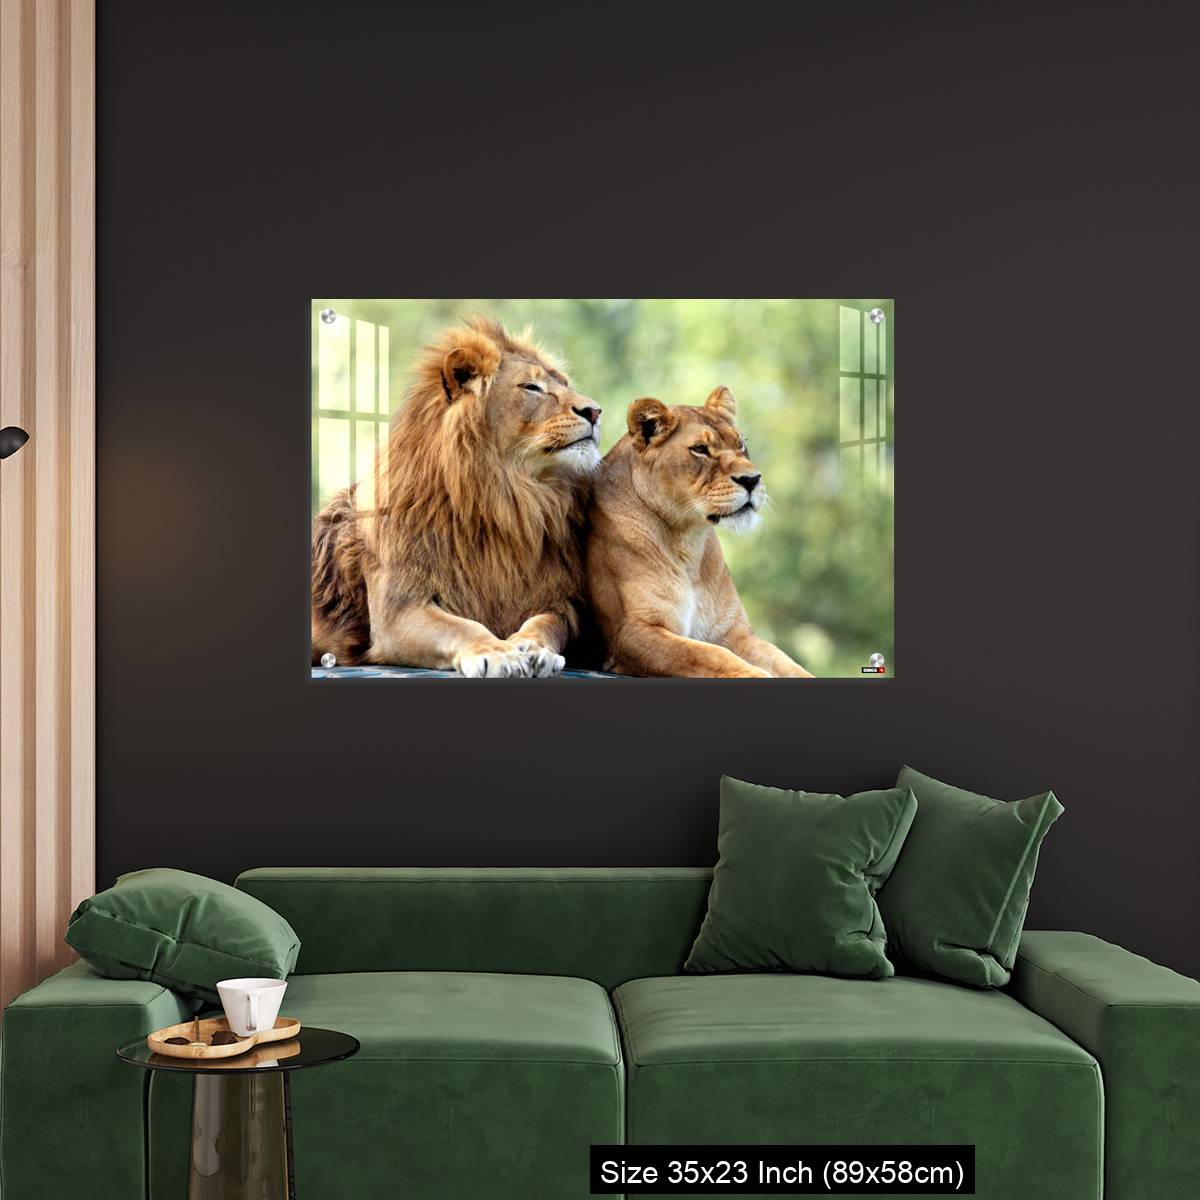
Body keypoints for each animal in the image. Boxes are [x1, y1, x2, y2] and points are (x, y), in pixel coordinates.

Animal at [312, 318, 602, 678]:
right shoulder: (398, 611)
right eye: (531, 387)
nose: (595, 411)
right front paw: (498, 652)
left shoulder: (559, 601)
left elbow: (545, 623)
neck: (508, 501)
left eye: (564, 383)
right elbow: (462, 626)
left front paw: (535, 648)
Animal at [585, 386, 813, 678]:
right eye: (700, 450)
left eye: (740, 444)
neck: (688, 541)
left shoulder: (733, 631)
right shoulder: (631, 633)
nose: (752, 480)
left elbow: (785, 662)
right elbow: (708, 654)